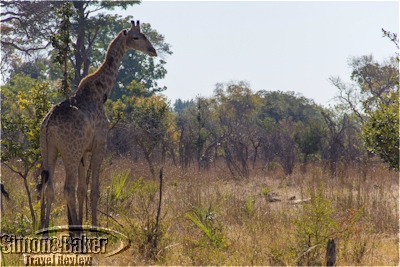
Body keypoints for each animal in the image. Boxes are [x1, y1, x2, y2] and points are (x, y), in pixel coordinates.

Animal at [38, 20, 156, 232]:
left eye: (145, 35)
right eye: (136, 37)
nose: (153, 50)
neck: (101, 92)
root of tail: (48, 123)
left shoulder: (84, 151)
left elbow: (82, 190)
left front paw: (82, 225)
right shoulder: (100, 143)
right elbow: (94, 191)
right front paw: (93, 228)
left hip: (48, 148)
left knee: (49, 188)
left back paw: (46, 233)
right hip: (70, 151)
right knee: (66, 188)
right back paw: (73, 234)